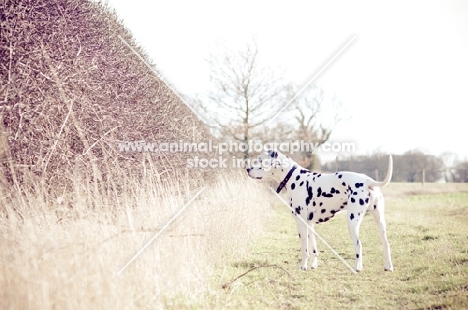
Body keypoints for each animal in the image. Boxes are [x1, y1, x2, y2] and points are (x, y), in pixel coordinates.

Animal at [247, 150, 394, 272]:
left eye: (260, 160)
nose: (247, 169)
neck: (294, 178)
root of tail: (368, 180)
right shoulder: (310, 224)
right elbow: (314, 249)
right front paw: (313, 265)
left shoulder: (301, 223)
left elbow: (305, 249)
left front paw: (303, 266)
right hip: (379, 221)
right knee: (386, 243)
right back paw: (388, 266)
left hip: (352, 221)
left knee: (359, 245)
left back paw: (357, 267)